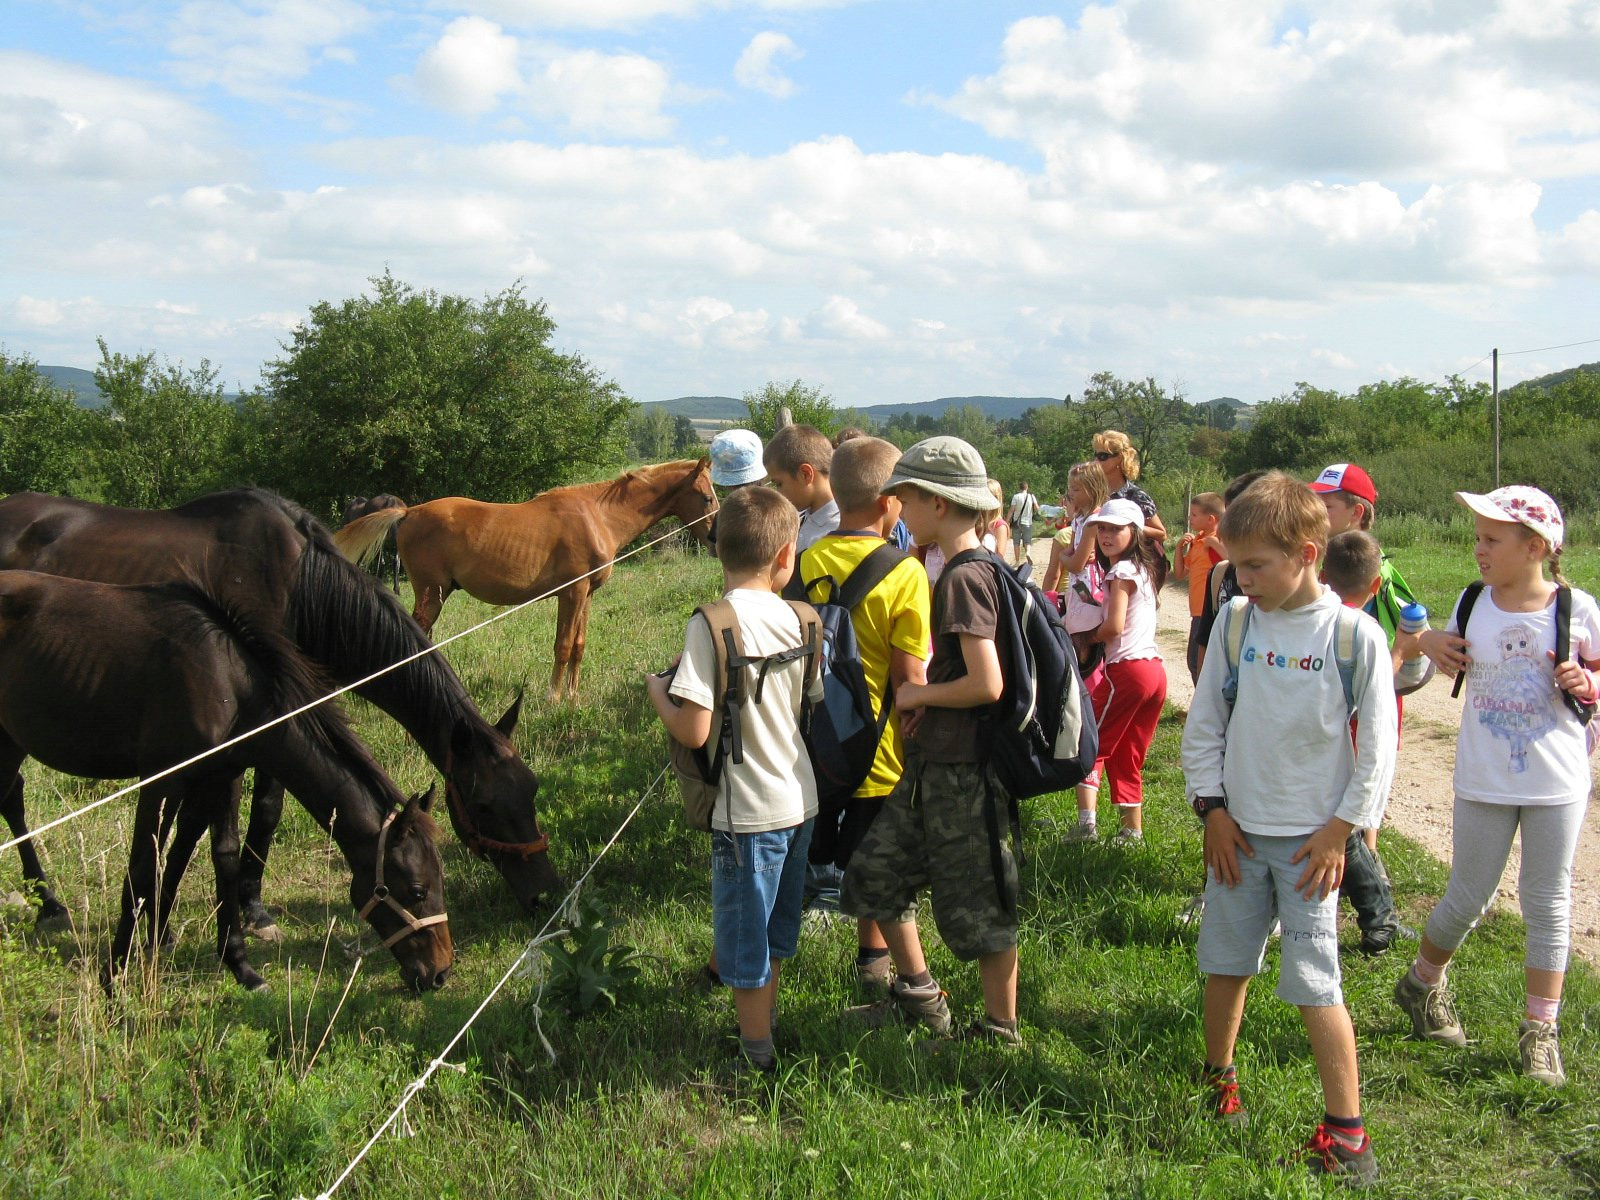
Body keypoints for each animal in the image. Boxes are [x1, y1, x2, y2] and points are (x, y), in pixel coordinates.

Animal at [0, 486, 563, 928]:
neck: (297, 584)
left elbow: (264, 811)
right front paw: (241, 912)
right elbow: (238, 818)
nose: (544, 894)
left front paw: (250, 905)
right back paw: (48, 904)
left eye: (532, 791)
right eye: (484, 806)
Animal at [0, 572, 454, 998]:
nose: (440, 973)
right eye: (417, 891)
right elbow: (143, 868)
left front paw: (239, 965)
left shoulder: (221, 775)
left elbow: (222, 856)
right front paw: (114, 978)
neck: (229, 684)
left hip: (12, 742)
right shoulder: (161, 781)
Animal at [337, 460, 720, 704]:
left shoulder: (587, 595)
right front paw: (553, 698)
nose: (717, 539)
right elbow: (562, 646)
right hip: (432, 595)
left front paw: (573, 697)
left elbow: (578, 646)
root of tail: (409, 512)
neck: (598, 517)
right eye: (706, 497)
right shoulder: (571, 593)